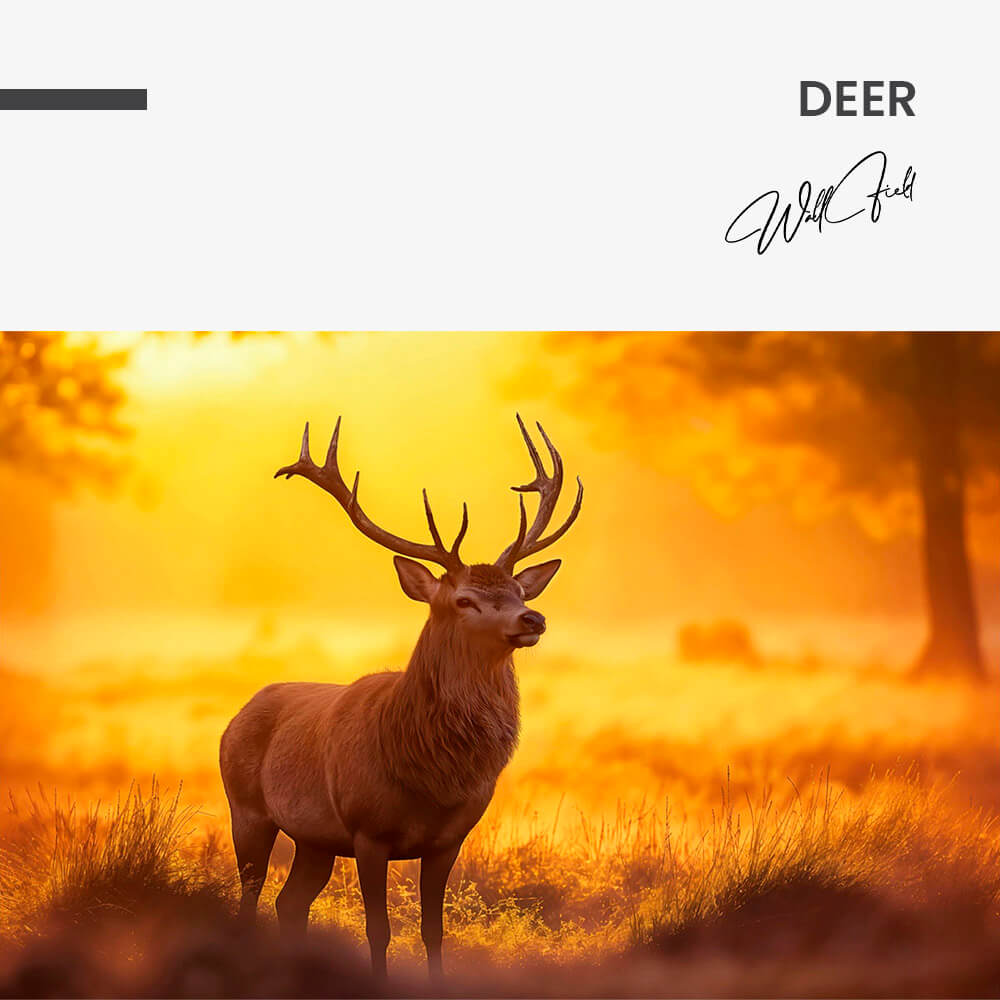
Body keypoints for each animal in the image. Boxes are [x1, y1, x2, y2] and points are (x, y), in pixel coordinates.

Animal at [219, 414, 582, 981]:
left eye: (521, 592)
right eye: (464, 600)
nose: (533, 619)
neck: (429, 775)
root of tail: (237, 715)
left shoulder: (449, 840)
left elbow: (434, 930)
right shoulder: (368, 831)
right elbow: (379, 930)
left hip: (314, 839)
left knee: (289, 903)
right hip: (247, 809)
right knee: (251, 899)